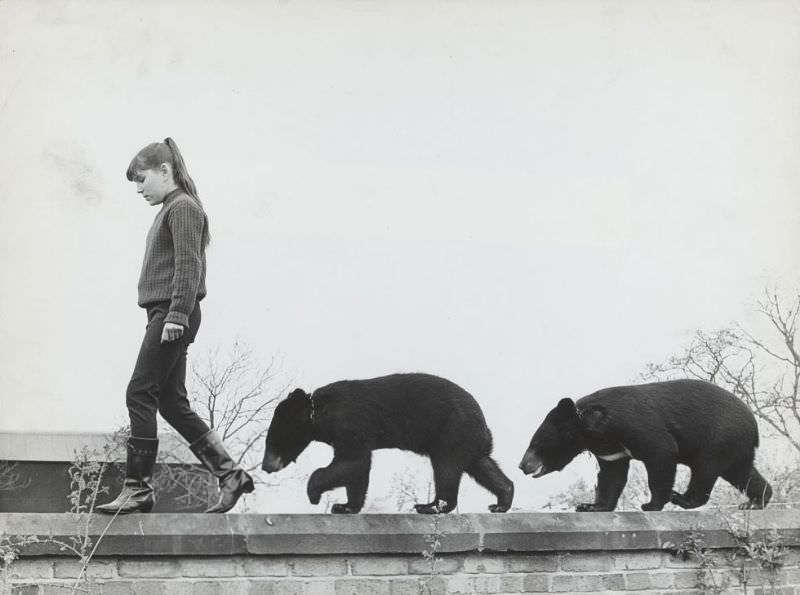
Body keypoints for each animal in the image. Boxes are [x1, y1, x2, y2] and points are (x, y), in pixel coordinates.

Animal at [262, 374, 512, 516]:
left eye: (272, 441)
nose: (265, 466)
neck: (318, 412)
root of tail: (483, 423)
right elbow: (358, 470)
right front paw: (345, 506)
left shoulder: (349, 423)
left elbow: (353, 460)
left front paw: (314, 493)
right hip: (468, 441)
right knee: (482, 465)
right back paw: (502, 501)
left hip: (450, 432)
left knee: (446, 469)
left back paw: (429, 506)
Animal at [516, 382, 772, 512]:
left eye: (536, 444)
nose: (522, 465)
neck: (592, 428)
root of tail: (753, 422)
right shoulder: (610, 450)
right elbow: (612, 476)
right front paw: (590, 506)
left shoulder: (635, 425)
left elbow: (661, 453)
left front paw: (651, 504)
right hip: (735, 446)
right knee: (743, 472)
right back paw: (755, 502)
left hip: (718, 437)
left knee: (705, 468)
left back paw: (684, 499)